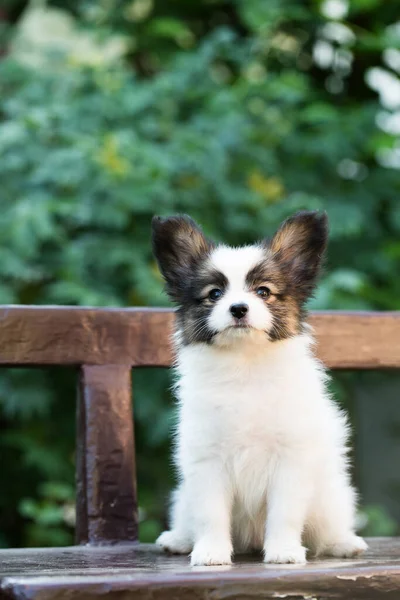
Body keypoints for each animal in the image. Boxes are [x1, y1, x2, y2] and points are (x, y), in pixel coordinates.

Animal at [152, 212, 368, 568]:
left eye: (263, 292)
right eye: (214, 294)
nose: (239, 308)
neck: (245, 366)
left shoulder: (291, 459)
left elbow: (285, 513)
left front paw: (284, 551)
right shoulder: (206, 460)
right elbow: (210, 514)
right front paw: (211, 553)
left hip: (329, 498)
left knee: (327, 529)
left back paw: (344, 542)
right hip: (183, 497)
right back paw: (179, 539)